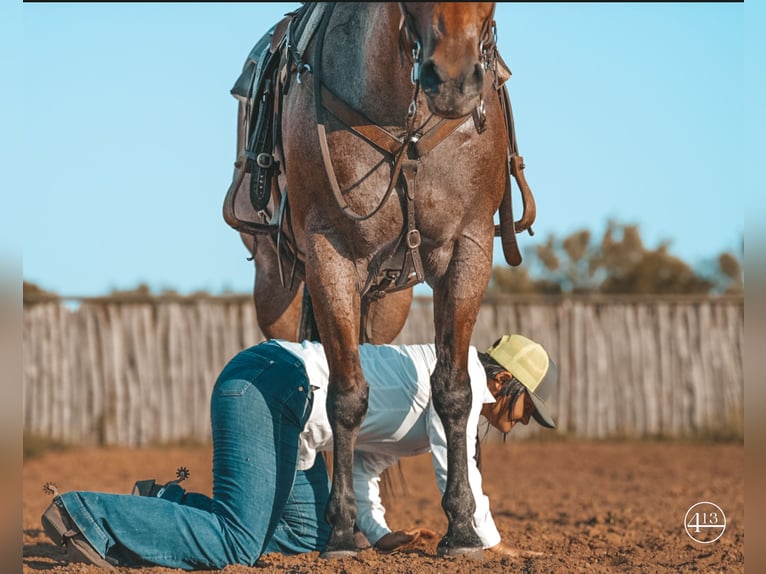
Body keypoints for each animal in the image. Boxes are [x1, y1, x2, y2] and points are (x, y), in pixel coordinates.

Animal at [220, 2, 536, 560]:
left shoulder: (469, 249)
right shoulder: (330, 256)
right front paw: (342, 532)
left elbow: (453, 390)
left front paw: (461, 528)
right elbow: (346, 395)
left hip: (390, 302)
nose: (453, 79)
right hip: (276, 284)